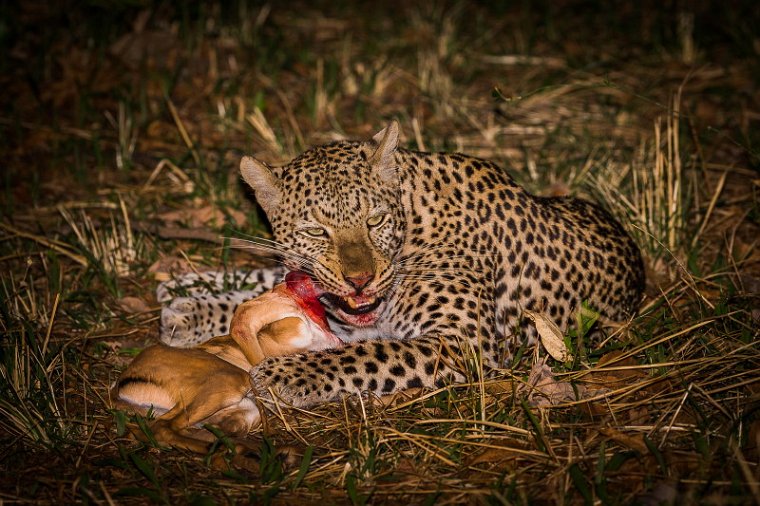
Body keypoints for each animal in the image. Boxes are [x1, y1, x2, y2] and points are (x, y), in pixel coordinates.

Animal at [157, 122, 644, 412]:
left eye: (374, 221)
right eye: (316, 231)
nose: (360, 280)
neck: (413, 219)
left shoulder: (462, 342)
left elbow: (368, 354)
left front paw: (287, 374)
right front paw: (193, 309)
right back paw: (182, 296)